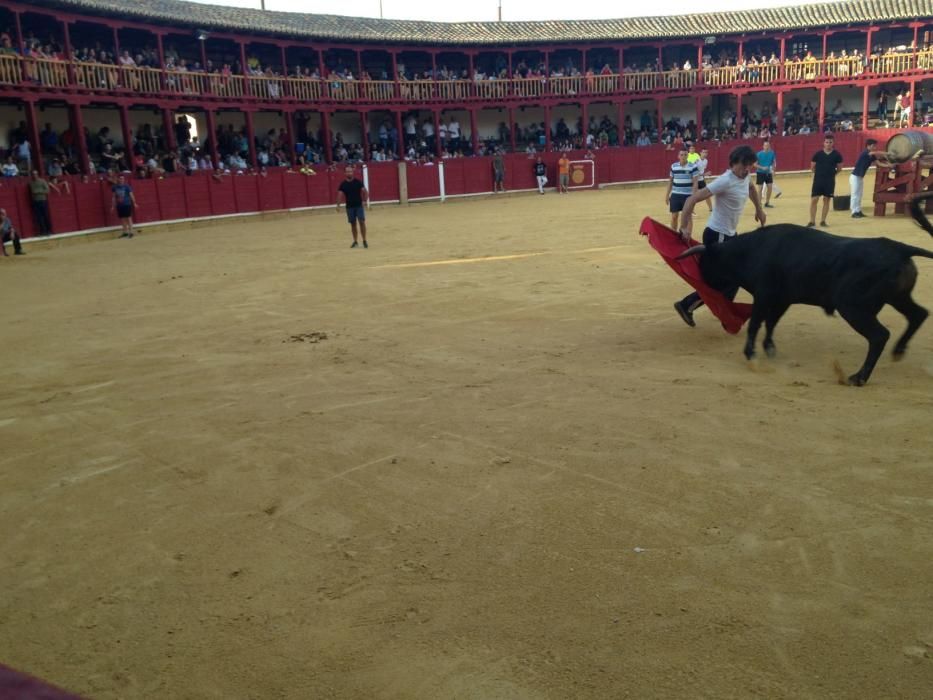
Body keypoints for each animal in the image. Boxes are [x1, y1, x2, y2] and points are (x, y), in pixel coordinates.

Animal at [672, 194, 932, 386]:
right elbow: (771, 322)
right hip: (898, 297)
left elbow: (756, 322)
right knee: (918, 314)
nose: (704, 284)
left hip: (853, 307)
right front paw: (770, 349)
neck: (749, 250)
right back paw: (898, 351)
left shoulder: (764, 295)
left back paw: (858, 377)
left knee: (879, 335)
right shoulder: (782, 299)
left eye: (705, 264)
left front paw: (751, 354)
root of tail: (899, 248)